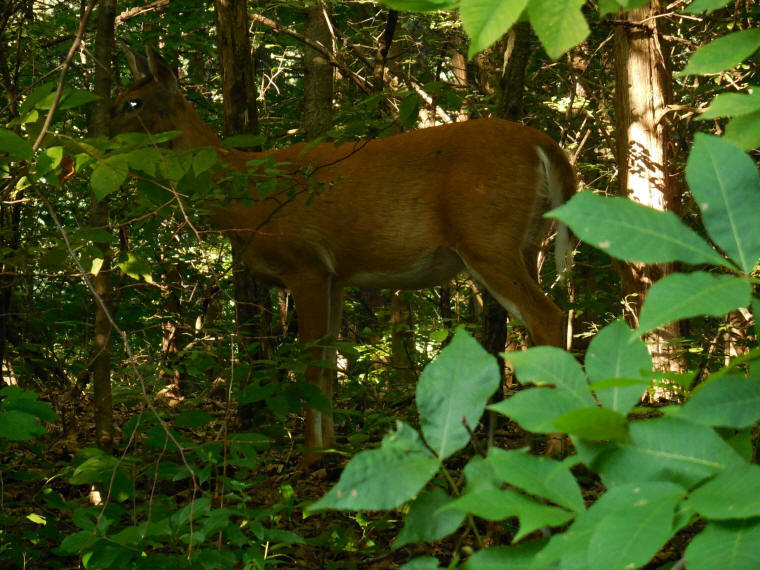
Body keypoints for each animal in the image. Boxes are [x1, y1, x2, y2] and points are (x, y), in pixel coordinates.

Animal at [109, 46, 576, 466]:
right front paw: (333, 448)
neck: (248, 198)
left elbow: (312, 366)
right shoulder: (337, 276)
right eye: (118, 97)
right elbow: (332, 366)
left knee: (548, 316)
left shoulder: (306, 263)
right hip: (529, 242)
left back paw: (553, 447)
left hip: (486, 235)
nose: (100, 138)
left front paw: (310, 459)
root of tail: (546, 144)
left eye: (134, 102)